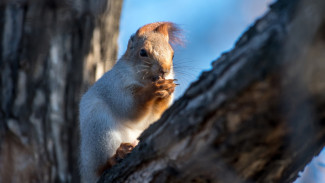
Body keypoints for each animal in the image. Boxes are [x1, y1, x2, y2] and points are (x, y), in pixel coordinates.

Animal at [78, 22, 180, 182]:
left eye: (173, 54)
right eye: (143, 52)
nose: (164, 70)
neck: (143, 81)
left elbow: (153, 118)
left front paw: (167, 89)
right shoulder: (114, 87)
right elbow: (130, 108)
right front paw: (153, 90)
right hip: (100, 131)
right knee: (101, 167)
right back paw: (118, 155)